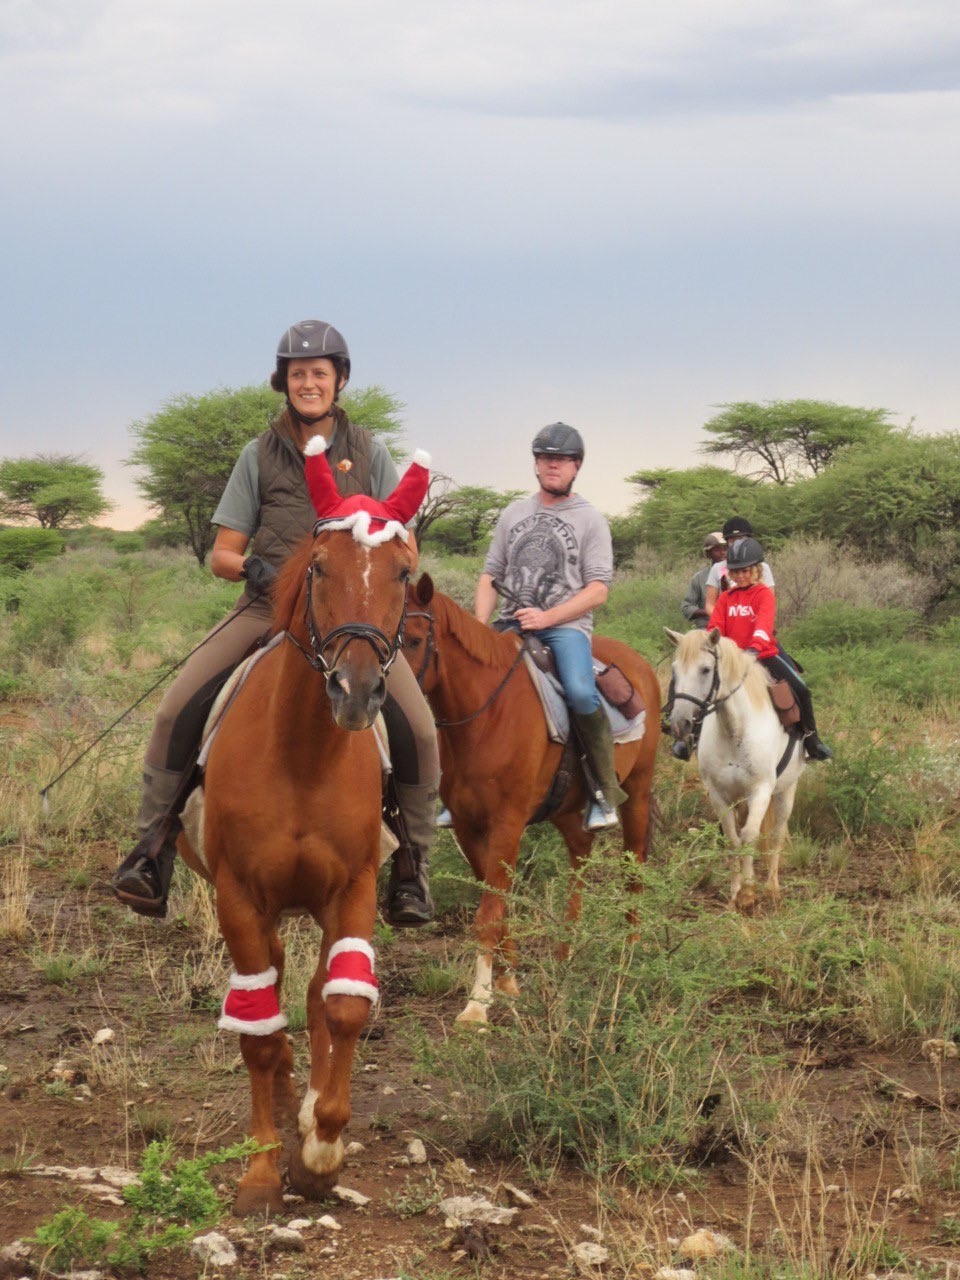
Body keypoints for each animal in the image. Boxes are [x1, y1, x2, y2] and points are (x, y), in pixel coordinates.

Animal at [180, 517, 417, 1208]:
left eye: (402, 572)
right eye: (317, 567)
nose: (356, 691)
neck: (303, 757)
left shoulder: (354, 888)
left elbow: (343, 1007)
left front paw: (321, 1153)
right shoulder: (237, 897)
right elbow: (259, 1038)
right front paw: (263, 1171)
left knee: (313, 995)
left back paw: (307, 1110)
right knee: (271, 1000)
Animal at [404, 576, 660, 1024]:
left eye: (416, 639)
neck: (486, 715)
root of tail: (641, 665)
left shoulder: (507, 823)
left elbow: (489, 912)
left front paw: (477, 1005)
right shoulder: (469, 827)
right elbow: (498, 903)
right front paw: (507, 984)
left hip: (639, 792)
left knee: (633, 868)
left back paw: (628, 955)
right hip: (565, 808)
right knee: (580, 853)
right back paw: (564, 950)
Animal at [665, 627, 808, 911]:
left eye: (706, 669)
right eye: (675, 670)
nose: (679, 724)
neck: (735, 729)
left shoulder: (761, 790)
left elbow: (750, 835)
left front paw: (749, 892)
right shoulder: (719, 794)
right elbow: (733, 838)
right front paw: (734, 893)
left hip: (786, 790)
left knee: (777, 833)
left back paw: (772, 886)